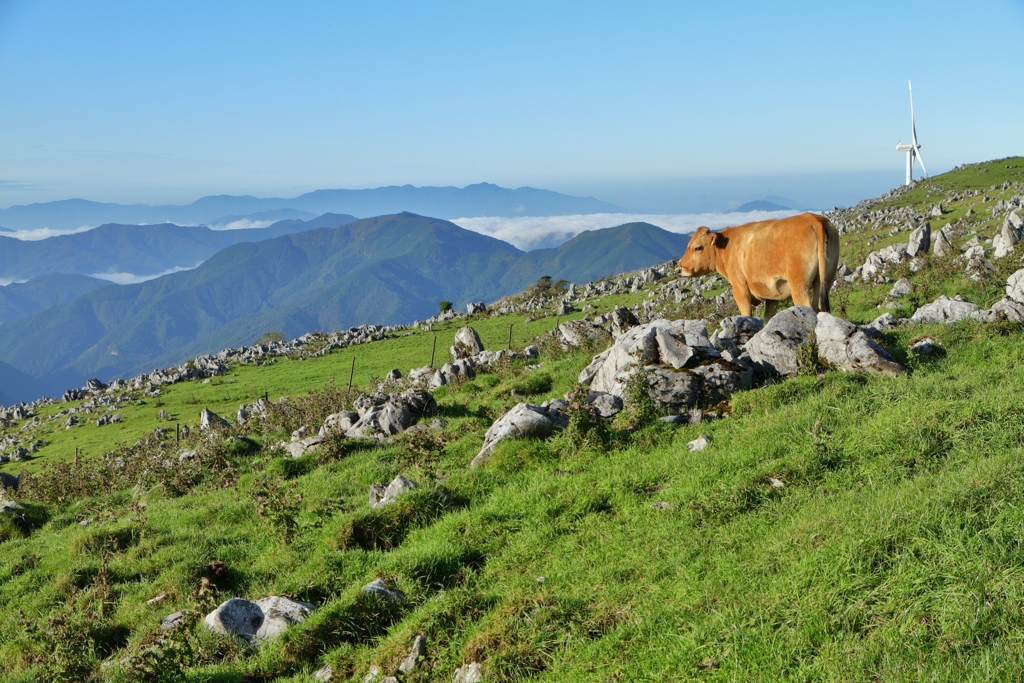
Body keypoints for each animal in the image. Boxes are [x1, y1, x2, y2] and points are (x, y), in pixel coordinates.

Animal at [675, 211, 835, 321]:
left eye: (697, 248)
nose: (679, 268)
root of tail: (811, 217)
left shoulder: (739, 288)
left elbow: (746, 314)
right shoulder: (772, 294)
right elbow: (768, 316)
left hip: (799, 284)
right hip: (824, 280)